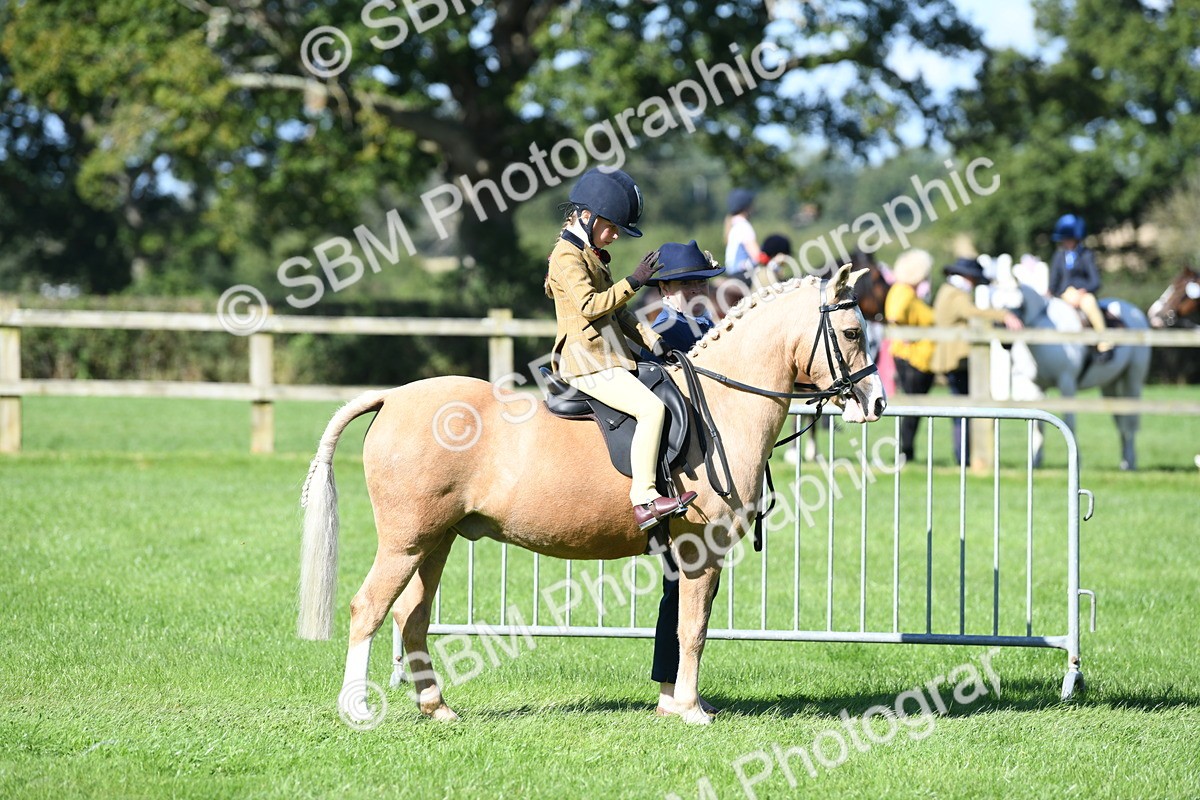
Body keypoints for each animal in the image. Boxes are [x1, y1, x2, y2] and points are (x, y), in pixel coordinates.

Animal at [297, 265, 886, 726]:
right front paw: (691, 710)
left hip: (436, 541)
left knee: (411, 617)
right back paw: (357, 710)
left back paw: (437, 707)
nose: (876, 403)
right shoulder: (700, 550)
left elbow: (680, 626)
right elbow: (693, 628)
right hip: (407, 541)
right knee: (369, 608)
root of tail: (392, 398)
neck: (720, 404)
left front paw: (680, 704)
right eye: (852, 331)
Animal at [991, 260, 1151, 470]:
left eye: (1019, 304)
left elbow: (1069, 421)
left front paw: (1077, 459)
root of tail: (1135, 312)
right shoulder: (1036, 386)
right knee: (1120, 420)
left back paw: (1130, 461)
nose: (1003, 339)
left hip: (1133, 379)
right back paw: (1125, 460)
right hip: (1110, 385)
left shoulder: (1066, 383)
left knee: (1130, 420)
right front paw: (1035, 460)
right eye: (996, 303)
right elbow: (1039, 425)